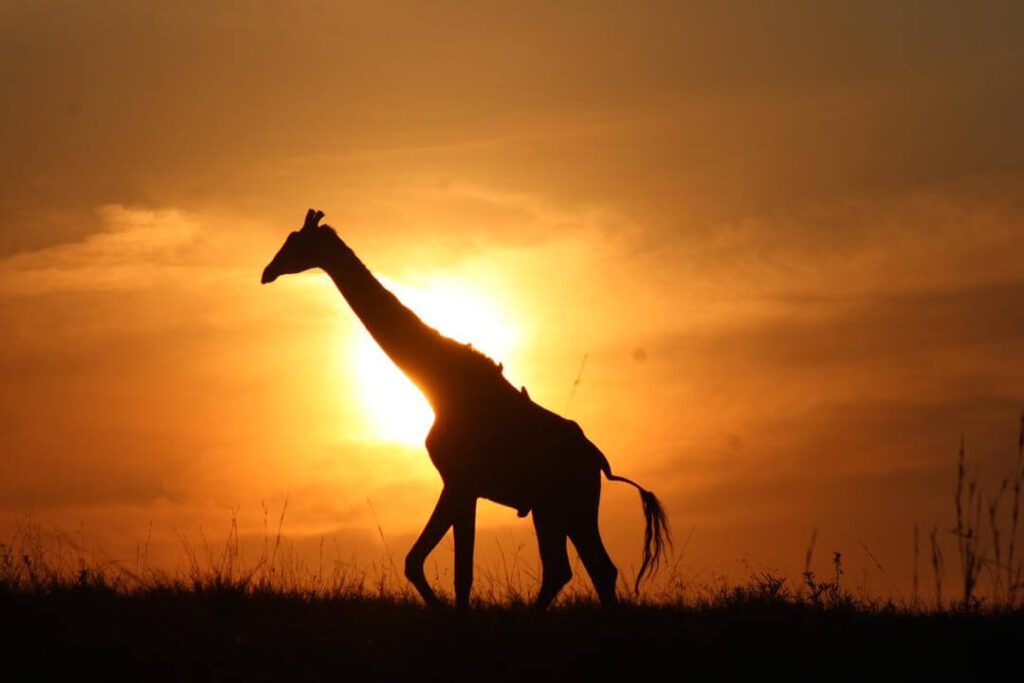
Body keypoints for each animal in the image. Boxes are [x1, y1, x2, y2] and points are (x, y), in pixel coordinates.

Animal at [261, 209, 670, 609]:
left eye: (296, 242)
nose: (267, 272)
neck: (438, 383)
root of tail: (598, 461)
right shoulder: (458, 483)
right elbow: (420, 562)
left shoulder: (461, 480)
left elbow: (456, 573)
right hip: (552, 507)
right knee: (578, 570)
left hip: (571, 504)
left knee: (588, 569)